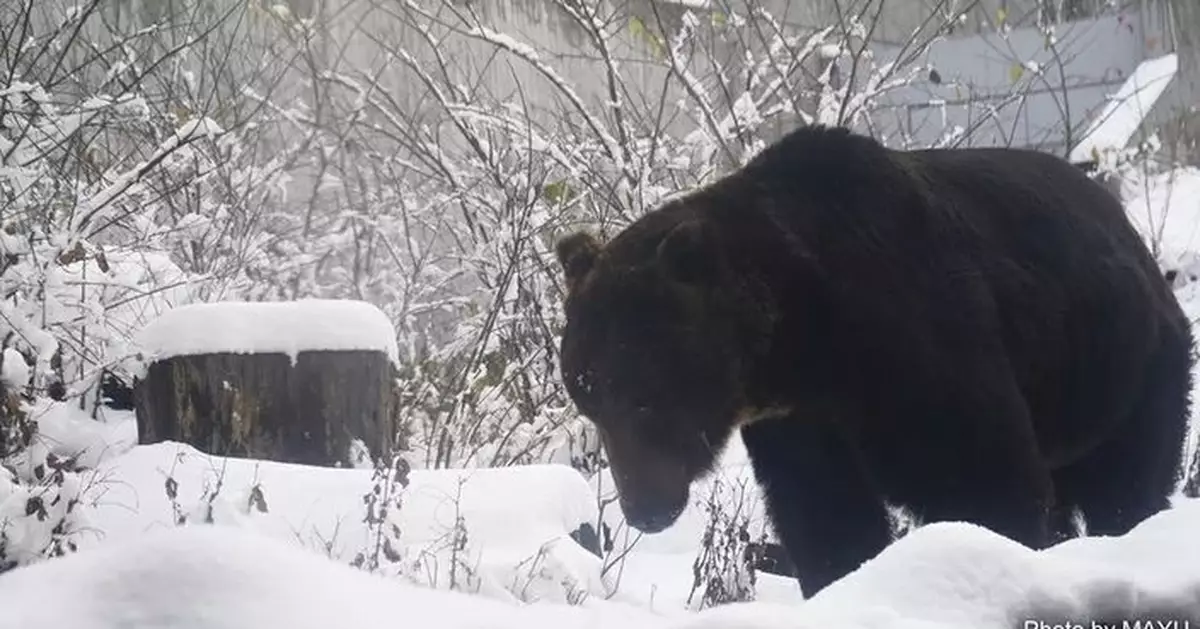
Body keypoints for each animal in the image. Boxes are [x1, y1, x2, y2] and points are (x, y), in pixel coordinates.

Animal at [554, 125, 1195, 598]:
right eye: (588, 399)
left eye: (645, 395)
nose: (643, 507)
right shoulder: (800, 422)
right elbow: (827, 514)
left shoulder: (916, 340)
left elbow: (980, 478)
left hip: (1131, 371)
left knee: (1127, 484)